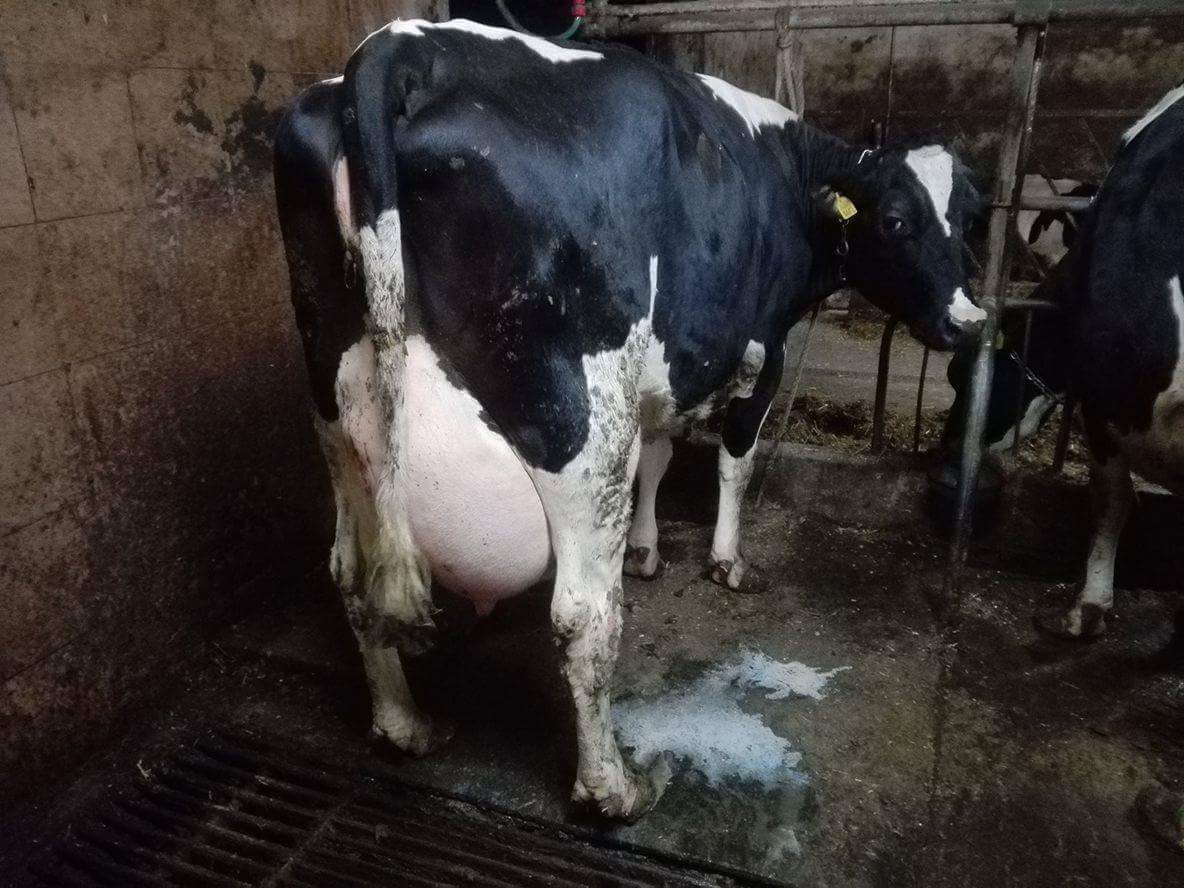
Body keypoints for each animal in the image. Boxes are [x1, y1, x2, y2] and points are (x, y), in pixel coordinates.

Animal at [274, 18, 983, 820]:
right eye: (896, 221)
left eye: (972, 218)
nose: (970, 322)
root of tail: (403, 45)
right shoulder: (758, 349)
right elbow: (735, 460)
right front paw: (727, 562)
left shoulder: (665, 363)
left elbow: (660, 453)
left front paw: (646, 549)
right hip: (580, 421)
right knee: (583, 615)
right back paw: (611, 787)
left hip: (338, 410)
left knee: (350, 570)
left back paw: (406, 727)